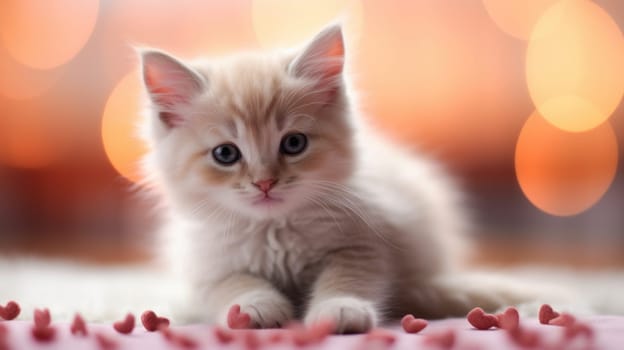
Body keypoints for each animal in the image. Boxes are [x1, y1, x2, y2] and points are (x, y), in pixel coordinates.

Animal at [141, 23, 536, 330]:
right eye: (225, 154)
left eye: (294, 143)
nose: (265, 182)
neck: (275, 230)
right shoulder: (207, 265)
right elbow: (233, 284)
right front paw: (255, 307)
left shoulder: (366, 239)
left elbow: (347, 278)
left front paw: (341, 310)